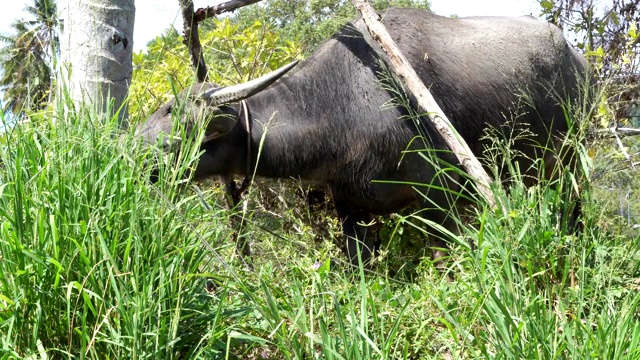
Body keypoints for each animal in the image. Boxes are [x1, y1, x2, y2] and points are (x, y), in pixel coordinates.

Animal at [138, 7, 588, 264]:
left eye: (174, 118)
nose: (131, 151)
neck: (344, 101)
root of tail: (575, 55)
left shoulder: (441, 198)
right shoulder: (351, 208)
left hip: (569, 159)